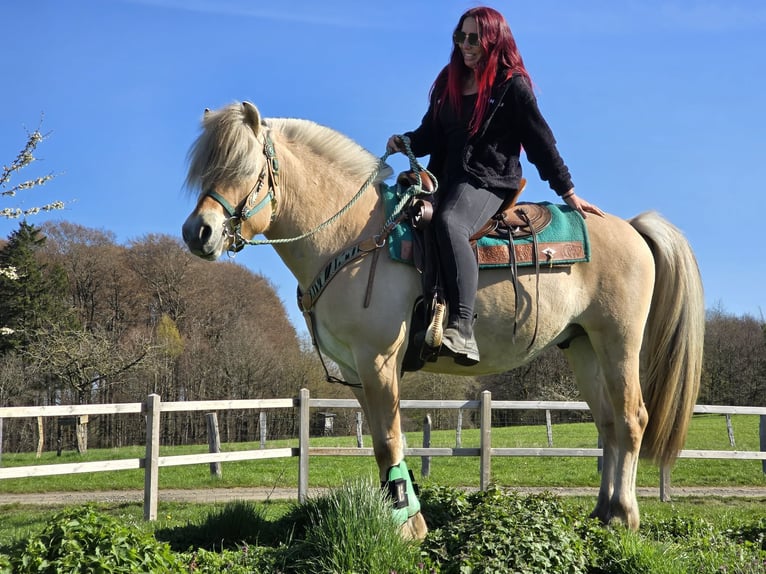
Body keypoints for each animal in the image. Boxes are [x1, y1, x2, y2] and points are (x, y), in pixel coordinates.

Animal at [181, 101, 704, 539]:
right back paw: (601, 513)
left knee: (633, 419)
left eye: (243, 168)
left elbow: (389, 439)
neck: (352, 236)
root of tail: (631, 227)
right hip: (583, 347)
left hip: (618, 341)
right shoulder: (355, 370)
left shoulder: (378, 359)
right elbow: (381, 441)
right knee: (609, 424)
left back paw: (624, 516)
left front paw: (407, 526)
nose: (197, 232)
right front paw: (401, 515)